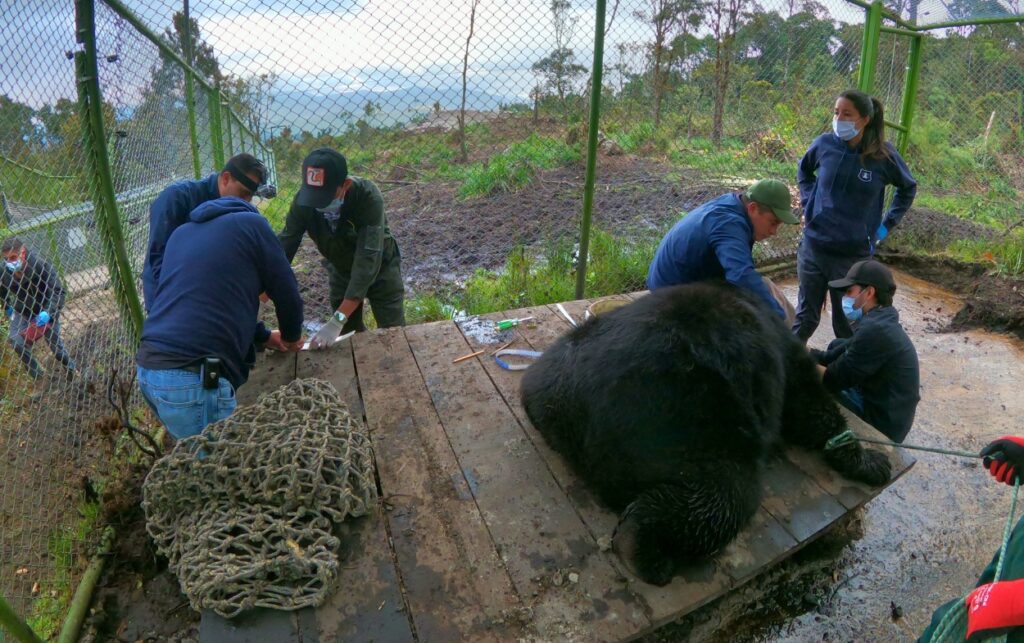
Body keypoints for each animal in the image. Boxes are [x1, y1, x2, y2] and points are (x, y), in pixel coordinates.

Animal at [520, 281, 891, 586]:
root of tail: (577, 406)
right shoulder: (784, 356)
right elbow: (810, 405)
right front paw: (869, 460)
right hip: (686, 418)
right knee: (727, 493)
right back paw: (644, 544)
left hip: (552, 373)